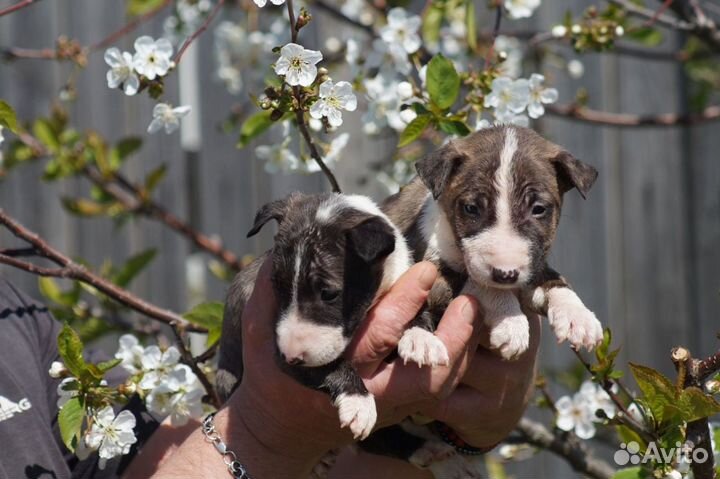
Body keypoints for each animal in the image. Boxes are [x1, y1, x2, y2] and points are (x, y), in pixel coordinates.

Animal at [215, 193, 410, 440]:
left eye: (328, 293)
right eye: (277, 286)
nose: (291, 356)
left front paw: (421, 338)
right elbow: (331, 366)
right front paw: (358, 401)